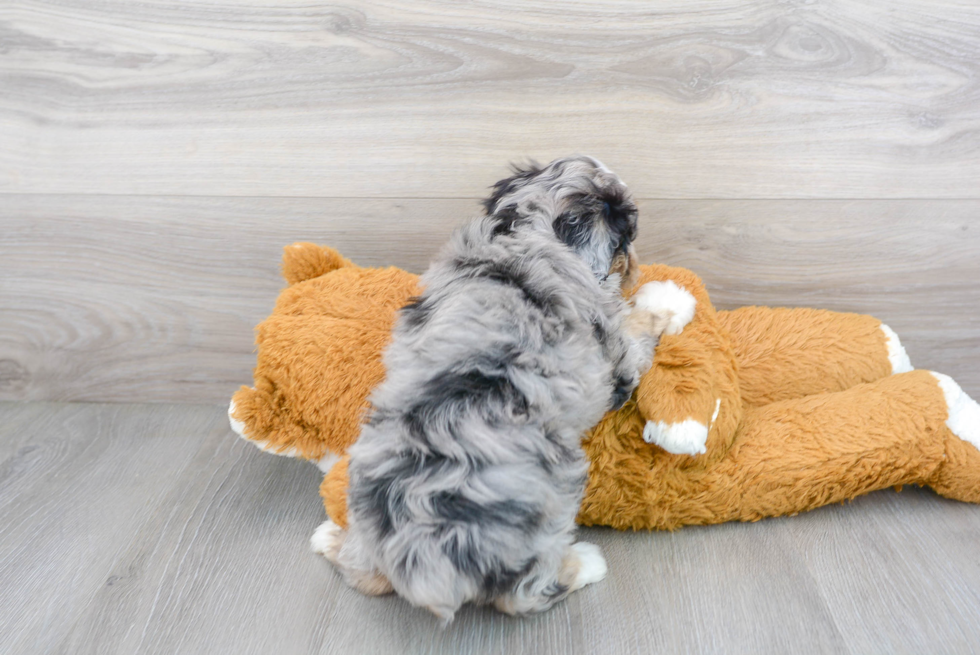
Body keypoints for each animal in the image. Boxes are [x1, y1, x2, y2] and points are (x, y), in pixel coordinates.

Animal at [310, 156, 668, 624]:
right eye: (626, 237)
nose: (635, 264)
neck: (519, 234)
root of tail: (425, 557)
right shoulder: (616, 357)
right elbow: (637, 330)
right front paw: (664, 301)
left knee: (365, 575)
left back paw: (329, 538)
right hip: (552, 504)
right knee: (523, 594)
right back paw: (585, 563)